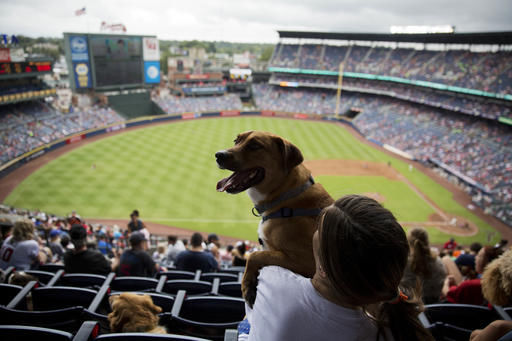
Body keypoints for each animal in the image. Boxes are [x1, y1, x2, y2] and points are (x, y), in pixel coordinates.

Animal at [215, 129, 332, 302]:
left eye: (255, 145)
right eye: (236, 140)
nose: (218, 155)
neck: (286, 196)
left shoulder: (307, 261)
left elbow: (255, 255)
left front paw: (247, 284)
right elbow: (257, 253)